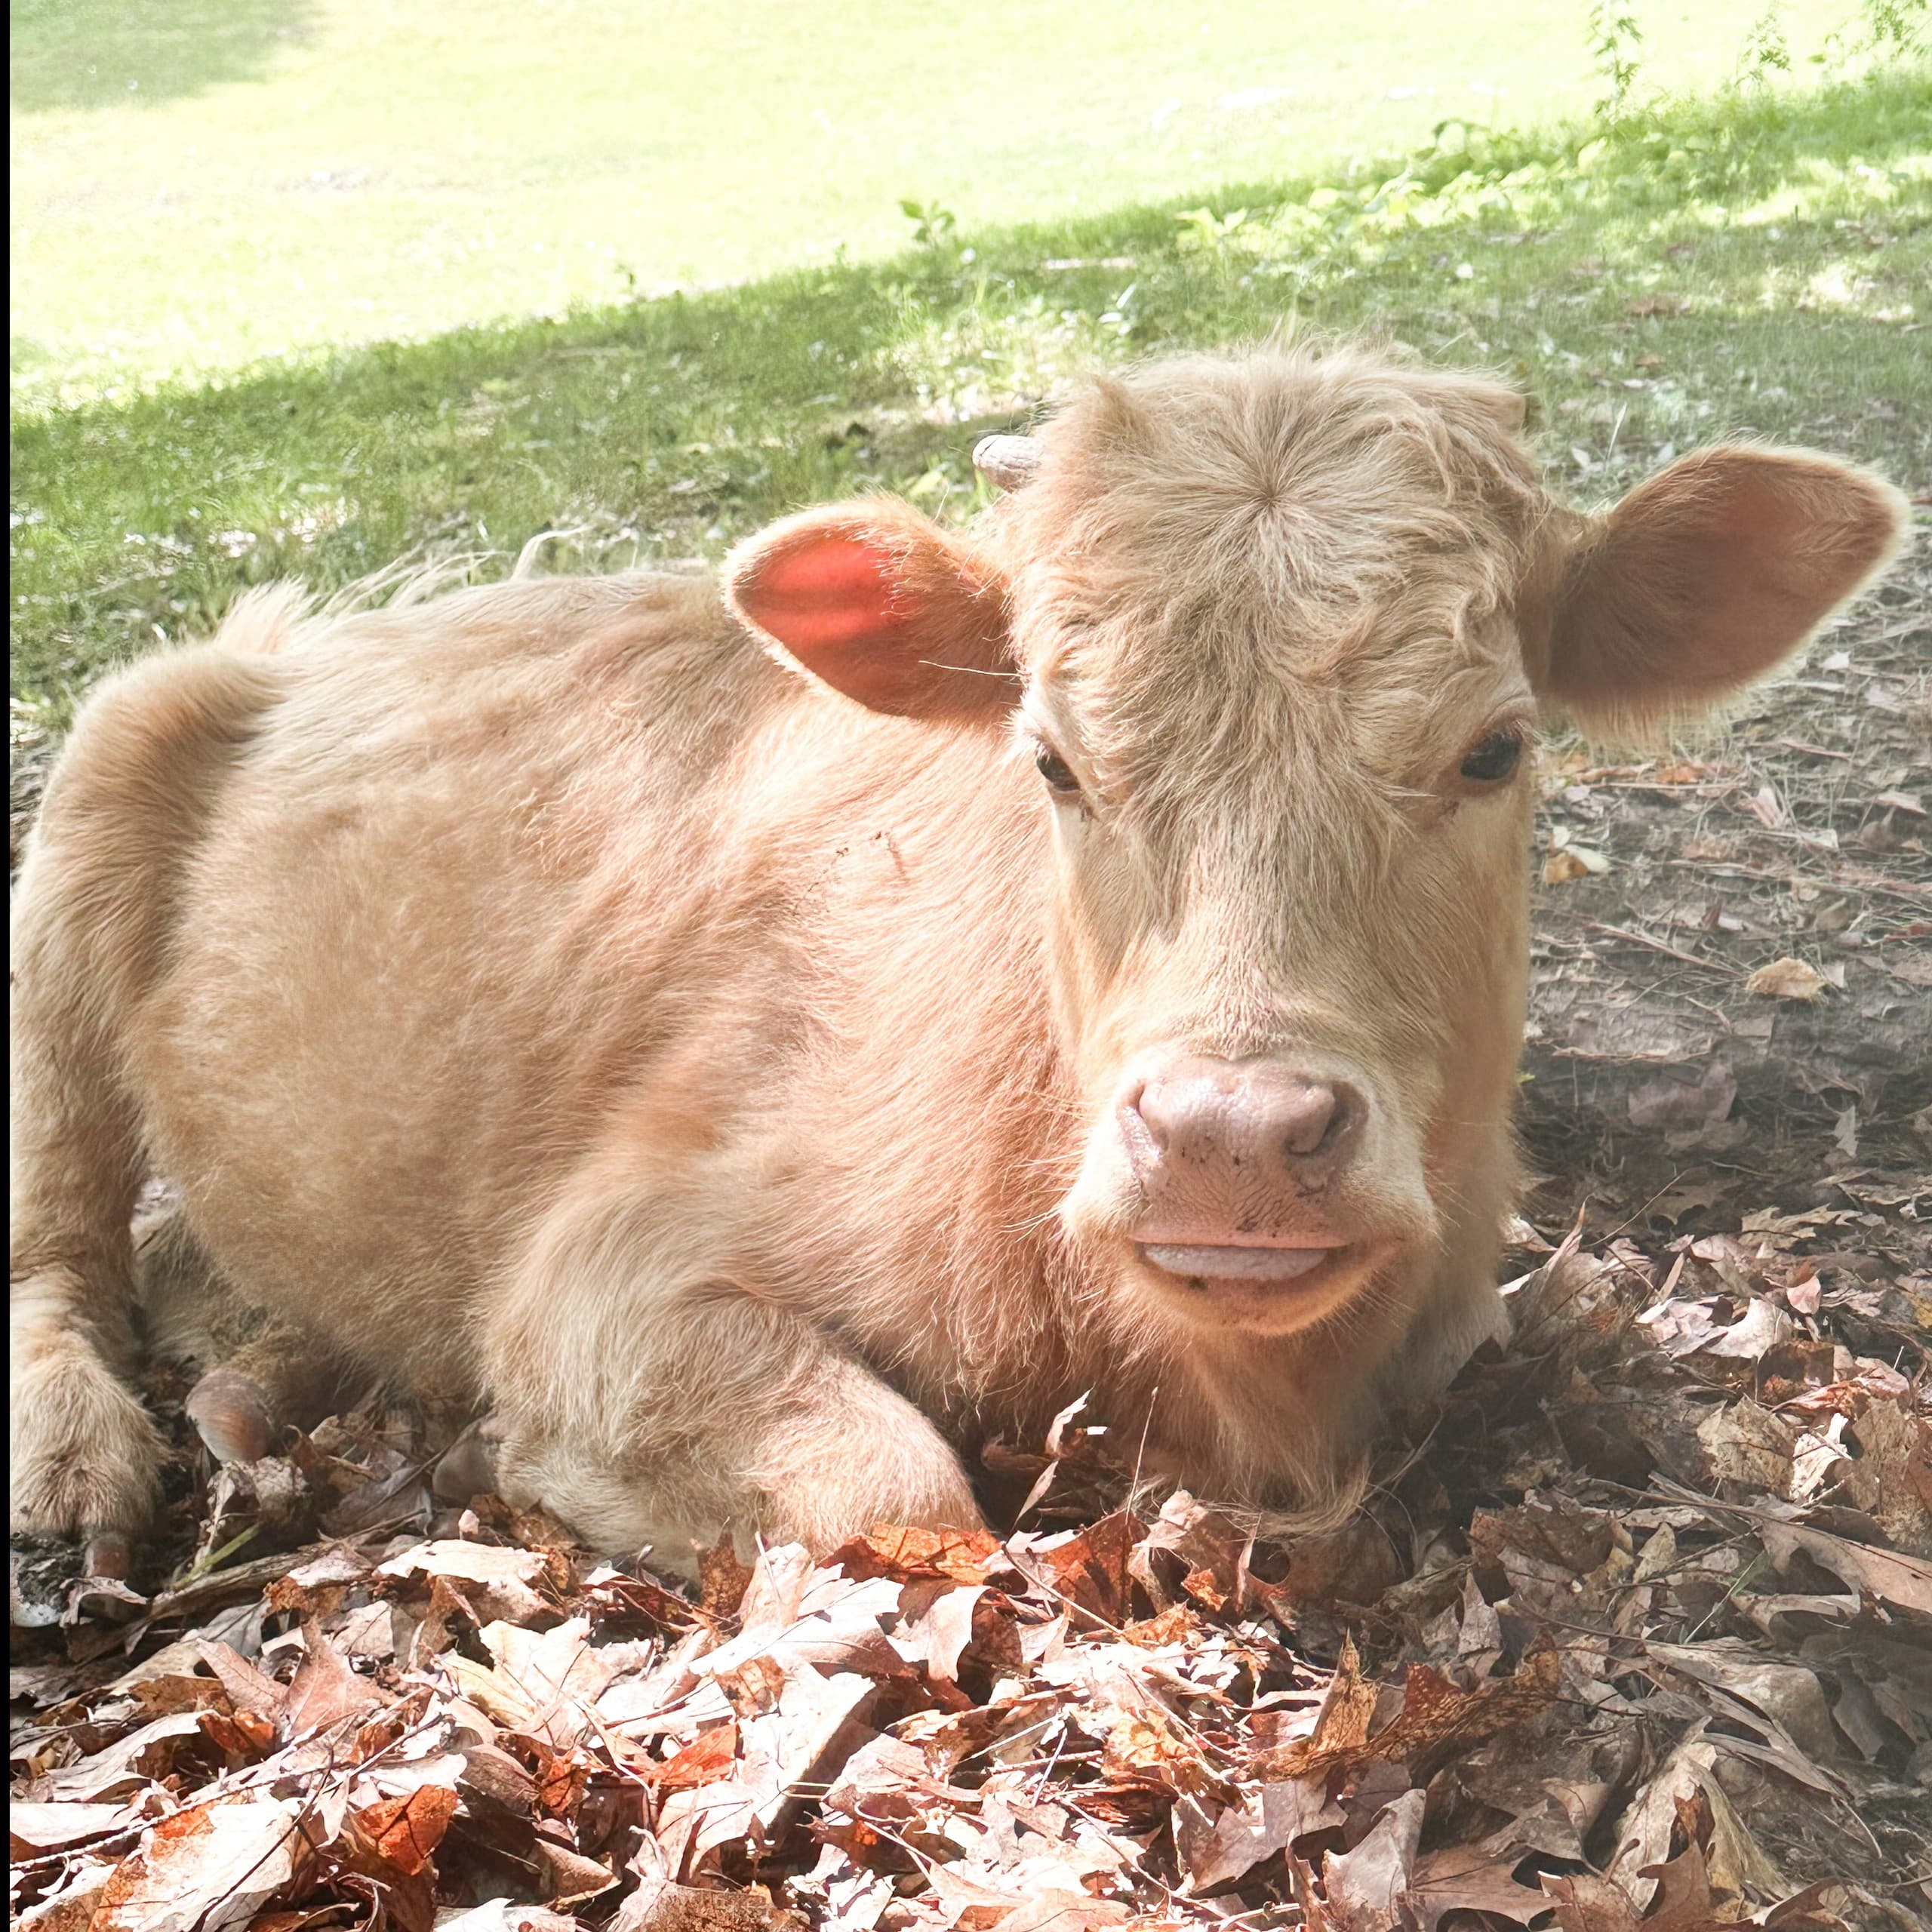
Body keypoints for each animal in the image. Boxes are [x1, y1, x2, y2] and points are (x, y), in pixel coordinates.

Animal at [9, 343, 1904, 1576]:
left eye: (1492, 748)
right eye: (1050, 758)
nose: (1226, 1136)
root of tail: (305, 630)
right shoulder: (604, 1270)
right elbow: (898, 1486)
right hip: (85, 812)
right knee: (58, 1234)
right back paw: (77, 1450)